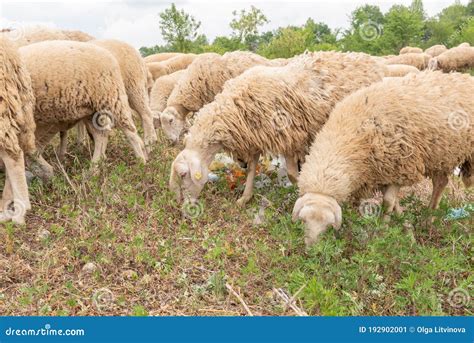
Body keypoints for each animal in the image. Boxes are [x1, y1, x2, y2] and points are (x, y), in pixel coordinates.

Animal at [19, 40, 147, 180]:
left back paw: (142, 161)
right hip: (91, 109)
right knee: (100, 135)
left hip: (111, 98)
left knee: (131, 130)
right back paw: (94, 169)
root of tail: (109, 55)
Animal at [294, 71, 472, 247]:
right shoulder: (383, 173)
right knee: (441, 182)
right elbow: (395, 204)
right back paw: (428, 220)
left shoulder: (400, 167)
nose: (312, 249)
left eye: (329, 226)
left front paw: (381, 233)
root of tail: (465, 77)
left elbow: (388, 203)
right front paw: (409, 233)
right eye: (302, 222)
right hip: (441, 156)